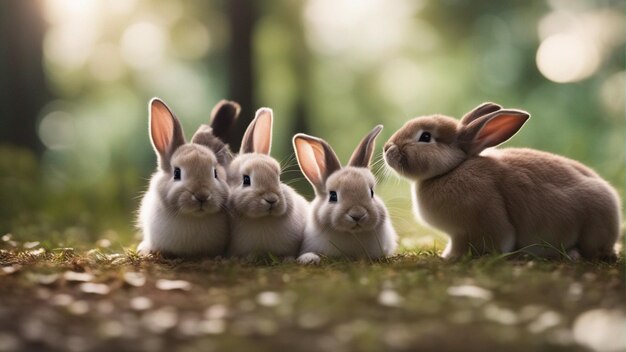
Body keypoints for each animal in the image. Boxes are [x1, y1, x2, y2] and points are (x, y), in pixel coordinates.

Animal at [382, 102, 616, 262]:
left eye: (425, 137)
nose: (387, 148)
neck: (450, 170)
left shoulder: (479, 221)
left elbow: (495, 239)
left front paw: (451, 257)